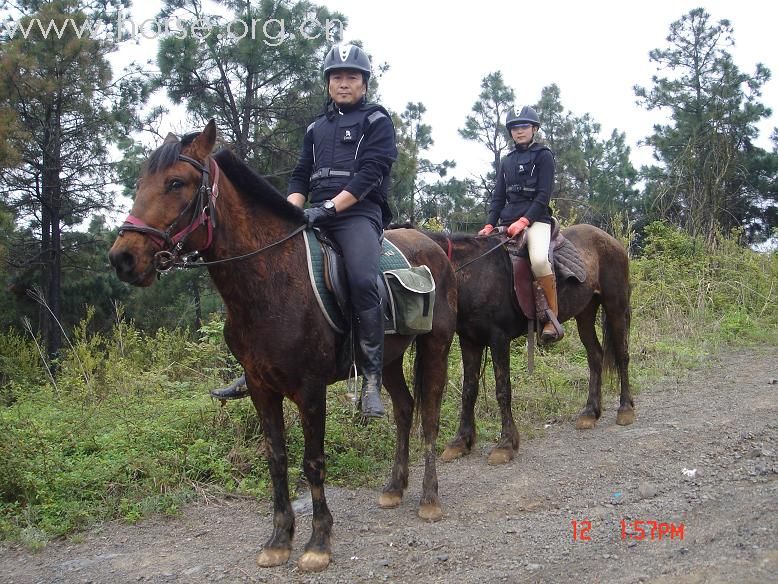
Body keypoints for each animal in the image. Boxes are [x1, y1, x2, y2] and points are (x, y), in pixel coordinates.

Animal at [106, 121, 452, 572]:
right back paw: (395, 486)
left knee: (430, 415)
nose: (123, 258)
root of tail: (433, 245)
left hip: (436, 346)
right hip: (390, 358)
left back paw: (429, 498)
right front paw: (279, 539)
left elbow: (313, 462)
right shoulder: (260, 387)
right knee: (404, 408)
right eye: (139, 183)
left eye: (176, 183)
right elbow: (277, 459)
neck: (269, 278)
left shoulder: (311, 389)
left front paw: (318, 542)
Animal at [422, 228, 632, 466]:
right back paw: (589, 413)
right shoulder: (469, 341)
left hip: (615, 307)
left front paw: (505, 445)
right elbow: (469, 391)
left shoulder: (499, 339)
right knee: (595, 355)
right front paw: (460, 442)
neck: (476, 274)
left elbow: (503, 390)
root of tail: (610, 240)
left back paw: (625, 410)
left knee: (622, 355)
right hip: (585, 312)